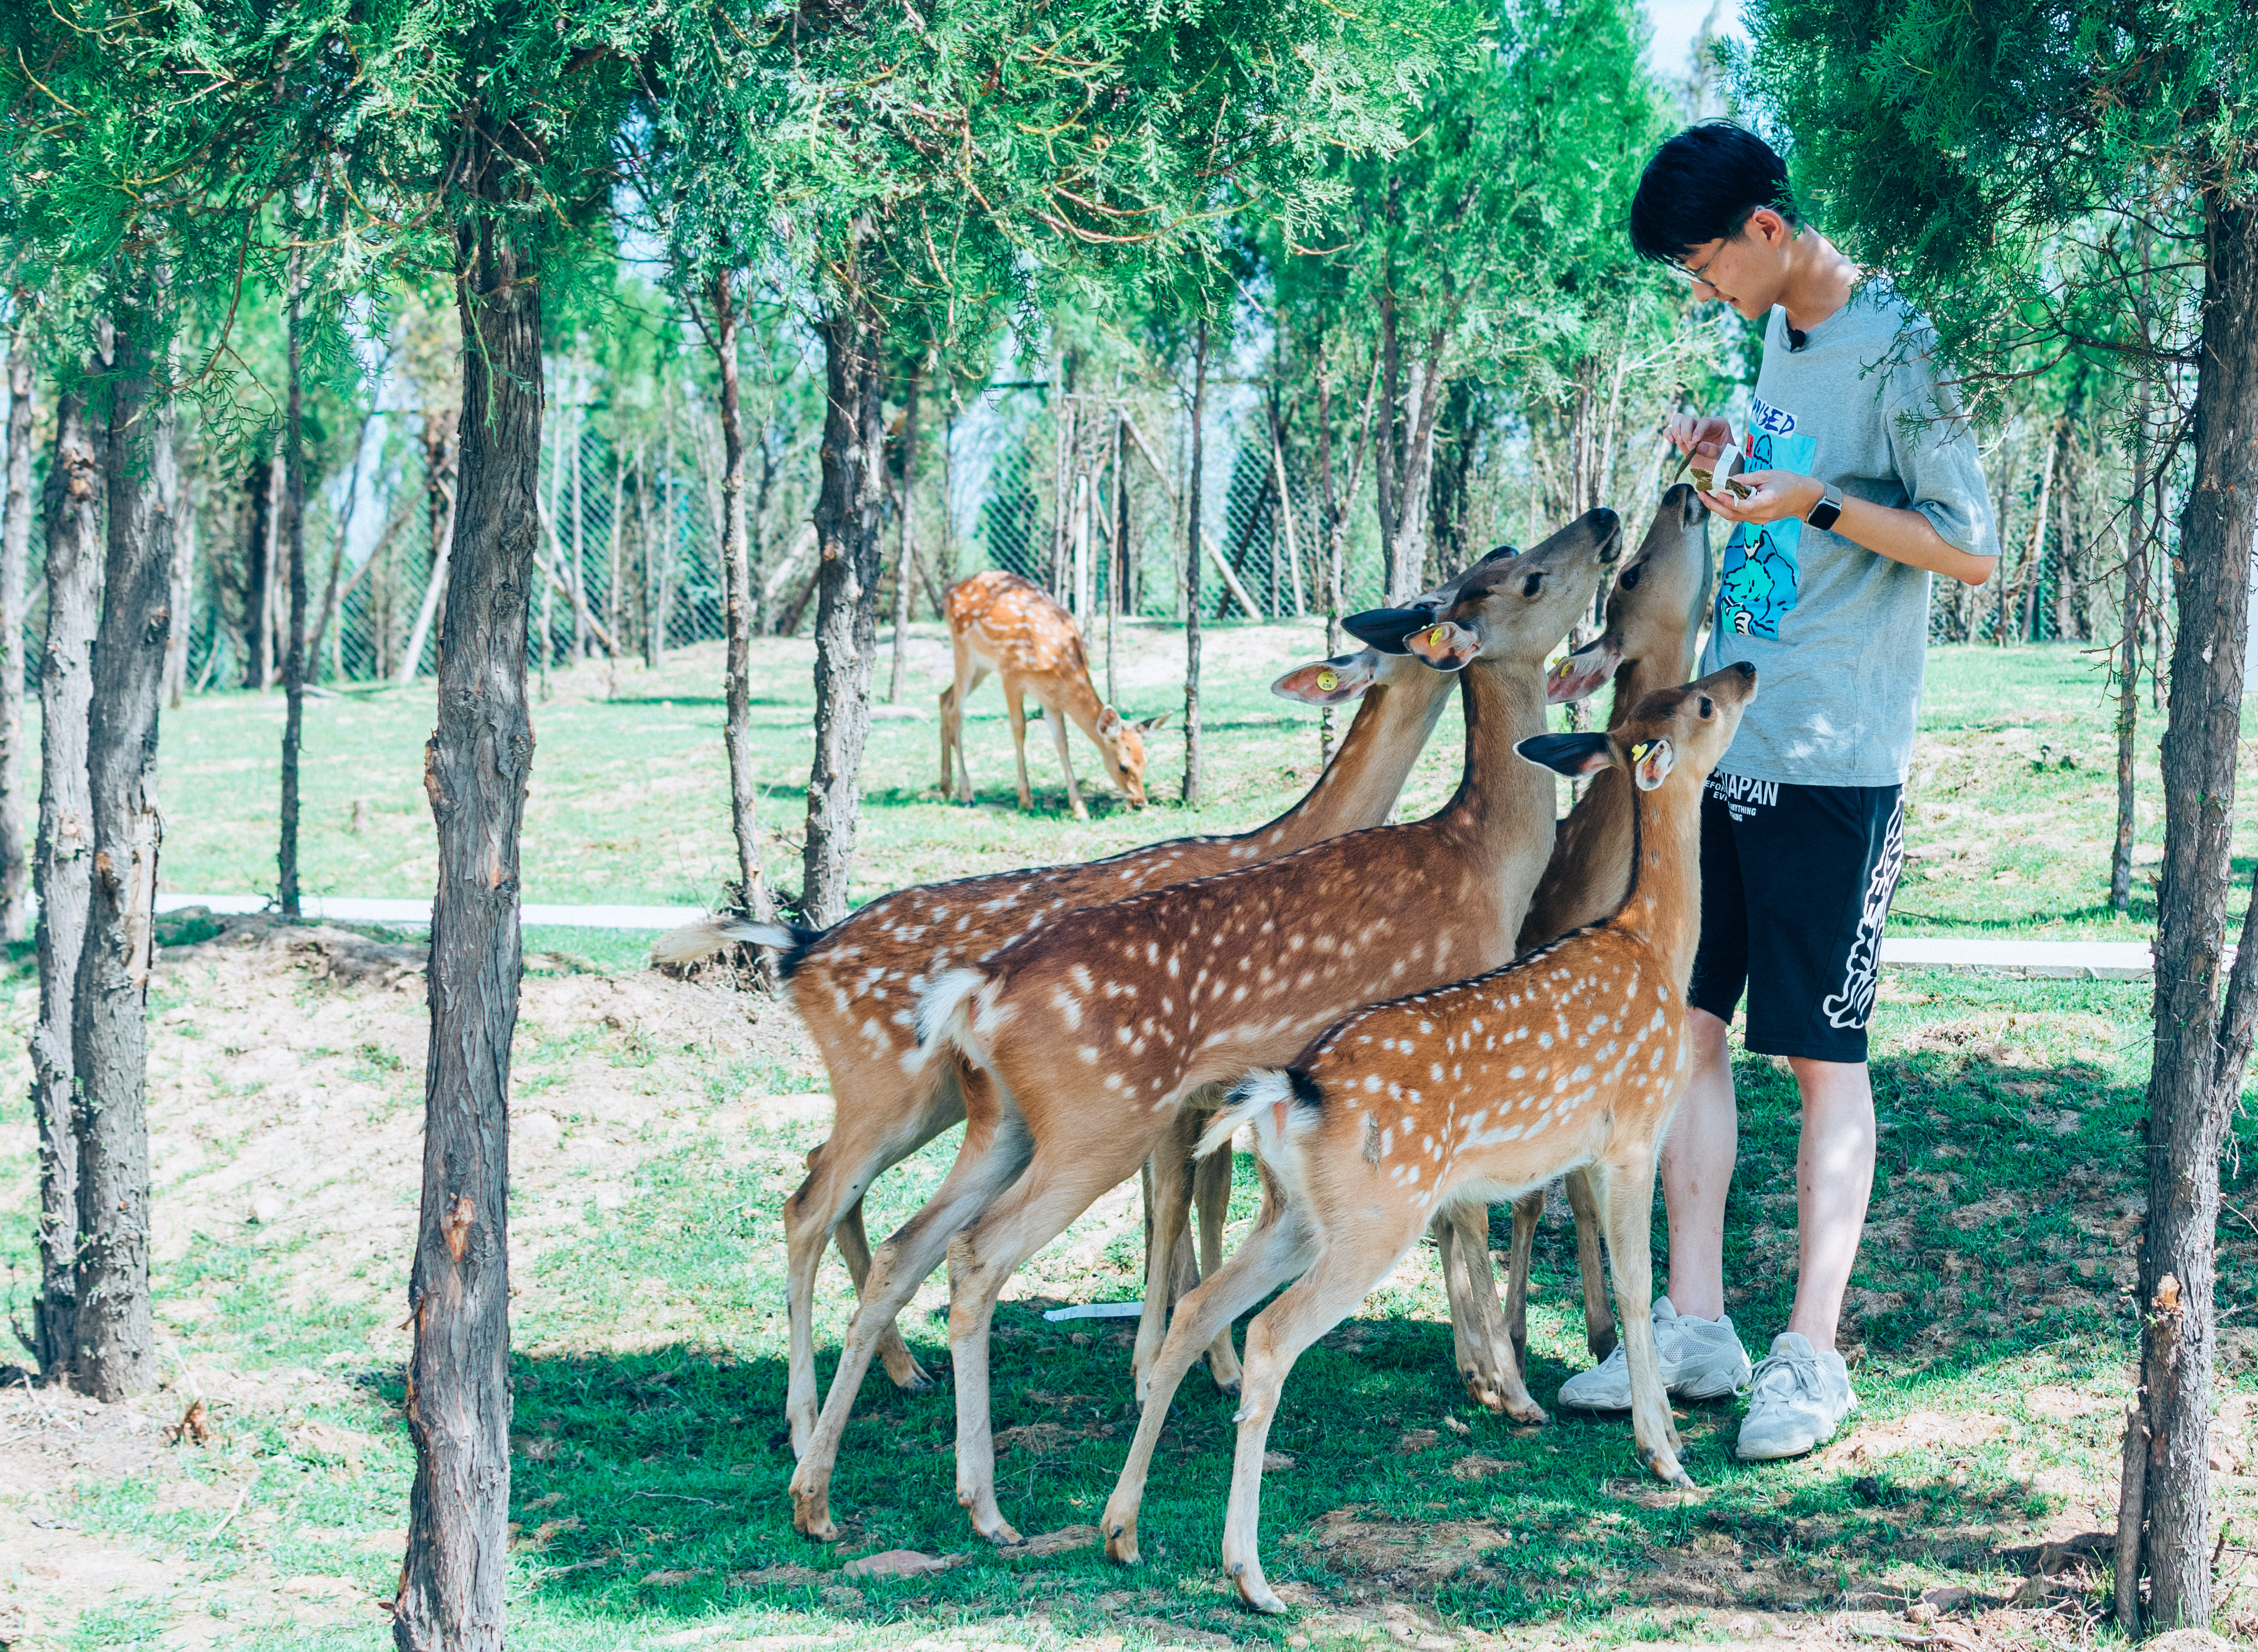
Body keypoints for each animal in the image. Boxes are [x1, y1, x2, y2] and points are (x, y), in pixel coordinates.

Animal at [943, 571, 1174, 821]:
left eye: (1146, 761)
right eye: (1123, 766)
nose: (1140, 802)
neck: (1060, 663)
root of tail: (951, 589)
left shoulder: (1051, 697)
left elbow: (1062, 742)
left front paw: (1080, 808)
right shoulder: (1011, 675)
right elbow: (1019, 729)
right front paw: (1026, 800)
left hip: (982, 666)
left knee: (945, 698)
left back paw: (946, 787)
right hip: (964, 651)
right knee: (957, 712)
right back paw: (966, 794)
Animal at [1102, 663, 1752, 1615]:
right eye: (1702, 703)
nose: (1746, 669)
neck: (1653, 946)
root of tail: (1291, 1094)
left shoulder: (1586, 1153)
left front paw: (1652, 1434)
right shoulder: (1630, 1133)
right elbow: (1637, 1293)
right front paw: (1663, 1456)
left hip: (1298, 1214)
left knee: (1198, 1308)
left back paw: (1122, 1531)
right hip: (1377, 1218)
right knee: (1268, 1337)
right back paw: (1251, 1577)